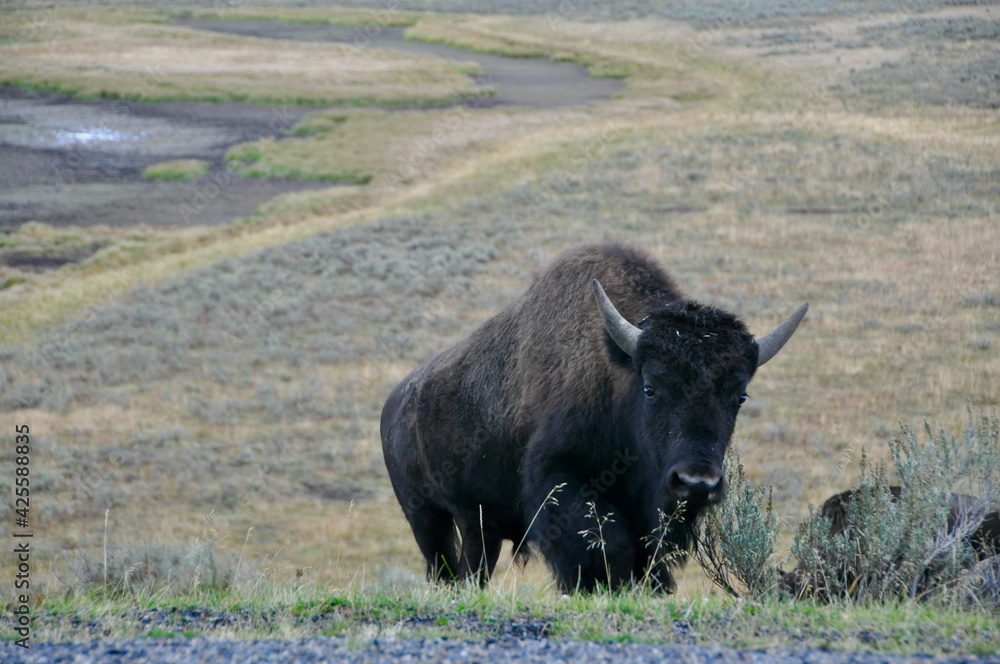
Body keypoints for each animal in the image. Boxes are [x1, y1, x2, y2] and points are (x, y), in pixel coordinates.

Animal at [378, 245, 808, 592]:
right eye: (650, 387)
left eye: (740, 396)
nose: (696, 482)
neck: (618, 372)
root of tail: (396, 401)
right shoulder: (559, 479)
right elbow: (607, 543)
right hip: (424, 515)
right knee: (441, 564)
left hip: (477, 524)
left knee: (472, 567)